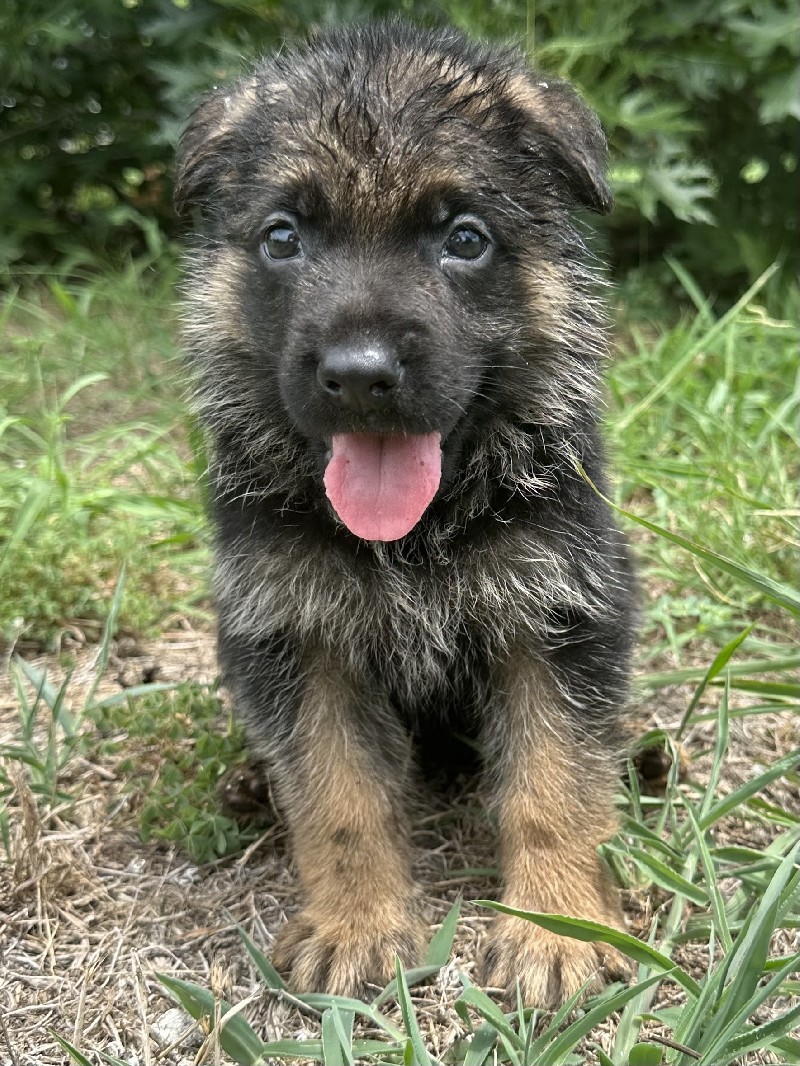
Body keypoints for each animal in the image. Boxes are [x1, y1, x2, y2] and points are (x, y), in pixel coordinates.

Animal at [177, 22, 640, 1006]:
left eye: (464, 239)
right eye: (282, 238)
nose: (359, 375)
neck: (415, 539)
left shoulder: (558, 615)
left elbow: (557, 782)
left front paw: (557, 928)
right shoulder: (294, 635)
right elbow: (337, 794)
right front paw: (357, 925)